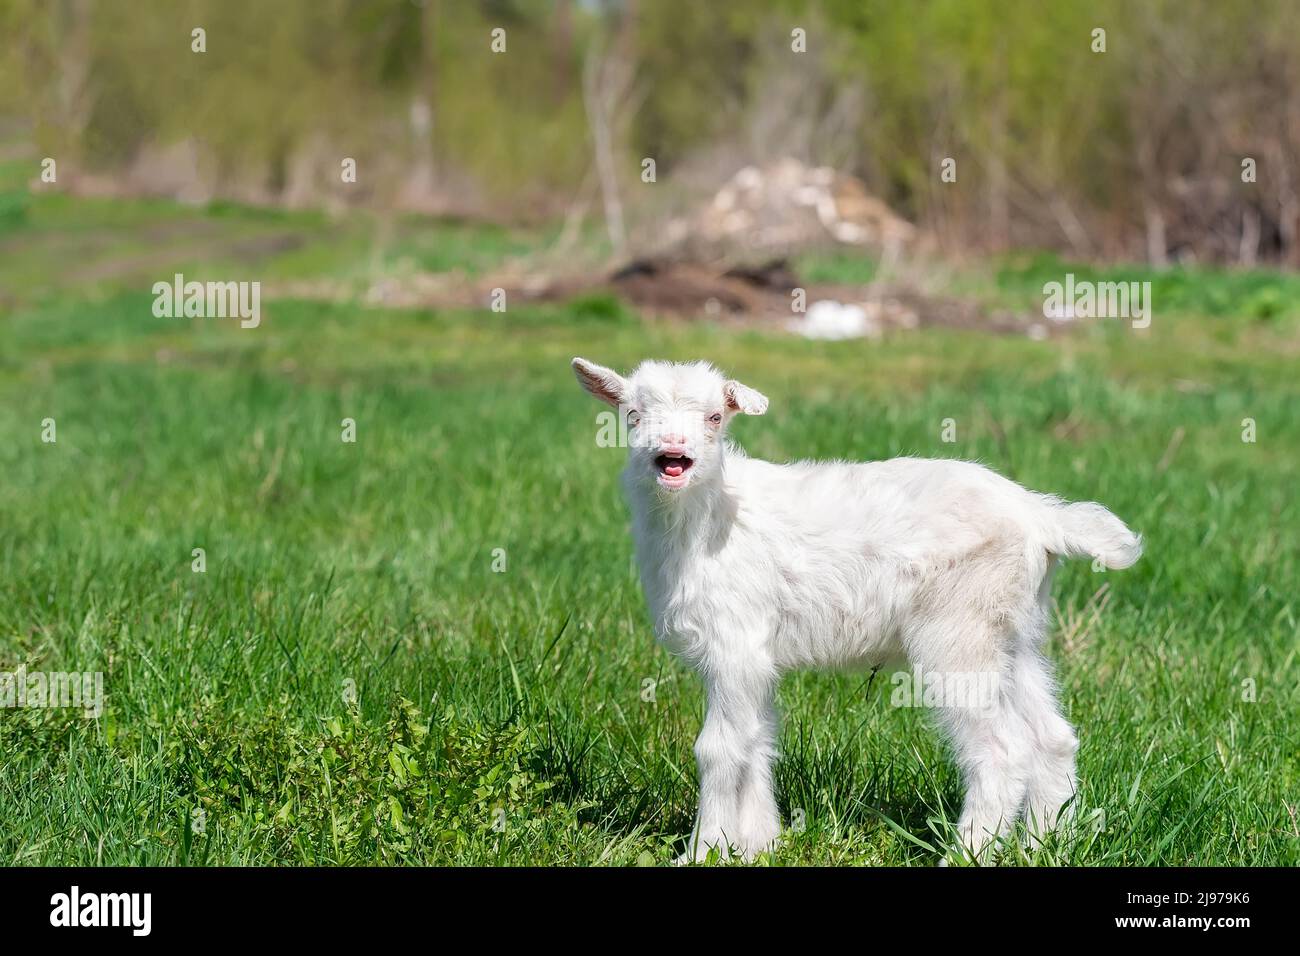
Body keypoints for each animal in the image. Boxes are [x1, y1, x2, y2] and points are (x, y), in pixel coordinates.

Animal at [571, 356, 1142, 863]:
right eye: (633, 414)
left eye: (714, 417)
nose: (672, 454)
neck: (704, 522)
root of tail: (1041, 518)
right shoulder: (756, 657)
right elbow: (758, 740)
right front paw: (759, 845)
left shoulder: (734, 645)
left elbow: (719, 748)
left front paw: (703, 851)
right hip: (1012, 633)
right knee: (1052, 737)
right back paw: (1045, 846)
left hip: (959, 633)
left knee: (1003, 749)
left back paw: (967, 854)